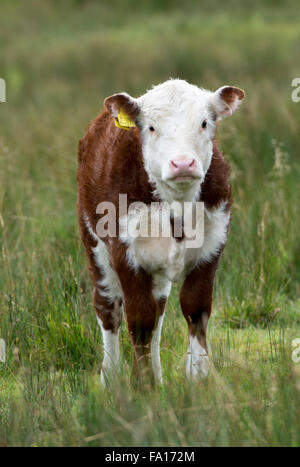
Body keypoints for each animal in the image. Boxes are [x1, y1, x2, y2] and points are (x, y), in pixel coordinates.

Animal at [77, 79, 244, 388]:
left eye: (204, 122)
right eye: (152, 127)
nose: (183, 164)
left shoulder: (213, 245)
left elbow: (195, 308)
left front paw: (199, 376)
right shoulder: (124, 251)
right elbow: (139, 319)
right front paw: (143, 386)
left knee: (159, 310)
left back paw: (157, 374)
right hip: (93, 242)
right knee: (108, 308)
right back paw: (111, 377)